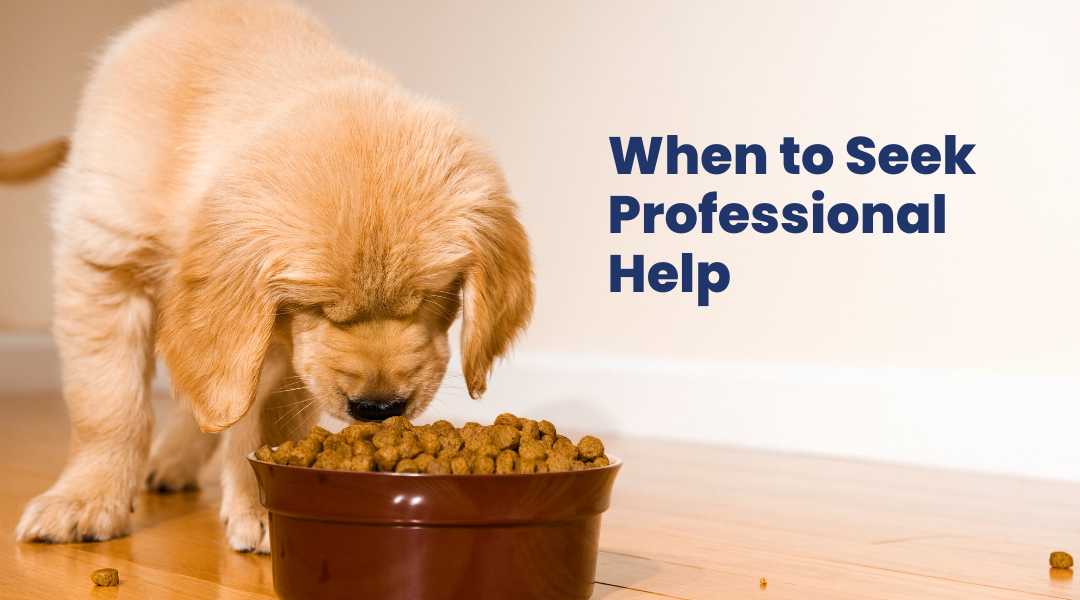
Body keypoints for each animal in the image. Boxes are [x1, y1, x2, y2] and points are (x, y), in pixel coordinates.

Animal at [8, 0, 531, 552]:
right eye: (318, 306)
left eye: (433, 297)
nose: (378, 407)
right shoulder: (104, 263)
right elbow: (108, 405)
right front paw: (85, 500)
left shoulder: (278, 342)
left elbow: (263, 417)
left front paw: (262, 505)